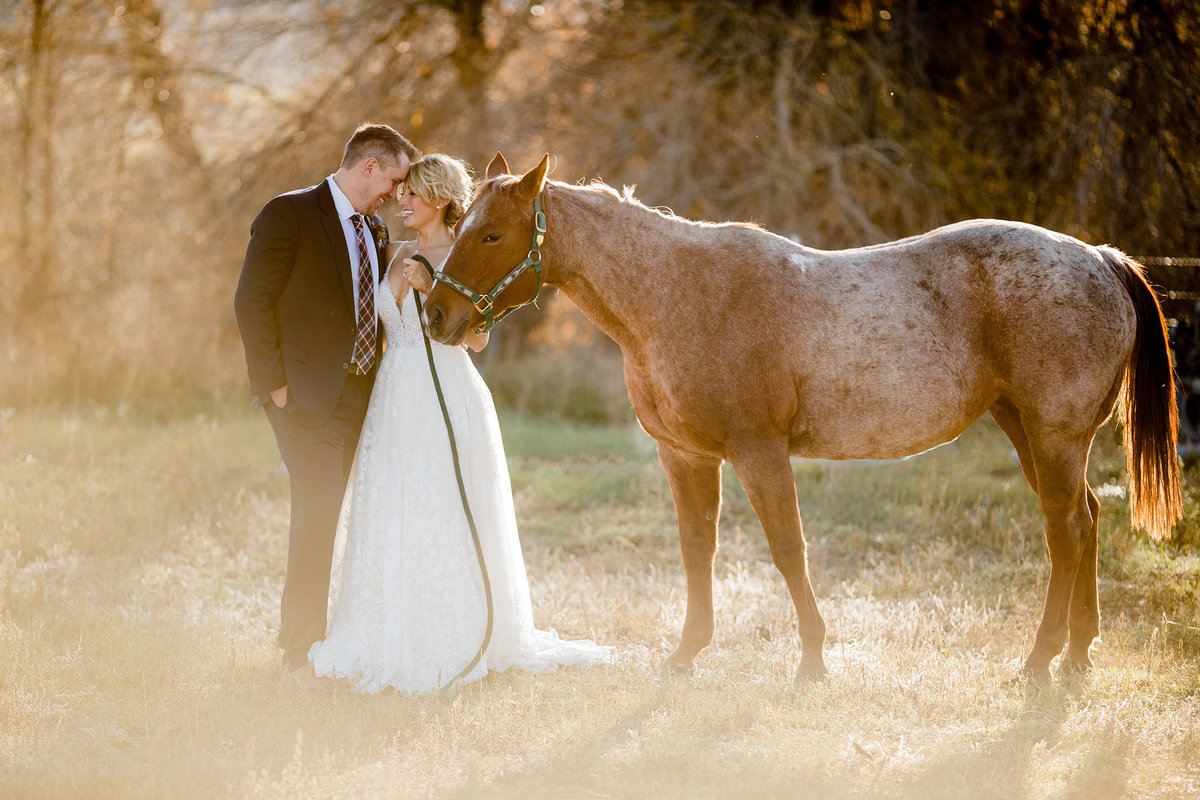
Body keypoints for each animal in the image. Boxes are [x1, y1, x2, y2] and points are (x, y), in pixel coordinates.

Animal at [422, 153, 1180, 686]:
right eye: (456, 226)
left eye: (492, 234)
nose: (435, 315)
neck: (681, 294)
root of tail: (1099, 258)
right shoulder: (685, 457)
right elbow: (697, 549)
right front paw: (687, 652)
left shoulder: (760, 453)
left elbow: (789, 550)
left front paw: (813, 659)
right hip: (1028, 432)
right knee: (1086, 520)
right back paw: (1077, 654)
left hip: (1053, 437)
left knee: (1067, 533)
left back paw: (1040, 658)